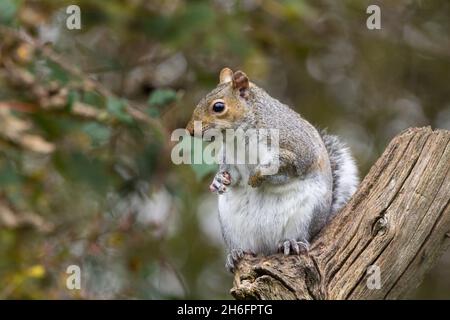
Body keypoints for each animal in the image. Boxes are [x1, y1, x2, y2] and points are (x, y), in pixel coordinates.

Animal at [185, 68, 358, 272]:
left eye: (218, 107)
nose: (189, 130)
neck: (238, 137)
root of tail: (267, 247)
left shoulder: (297, 149)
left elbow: (284, 167)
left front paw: (256, 176)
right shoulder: (231, 158)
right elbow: (233, 175)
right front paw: (219, 180)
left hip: (306, 216)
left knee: (299, 236)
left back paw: (291, 243)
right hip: (231, 225)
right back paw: (236, 254)